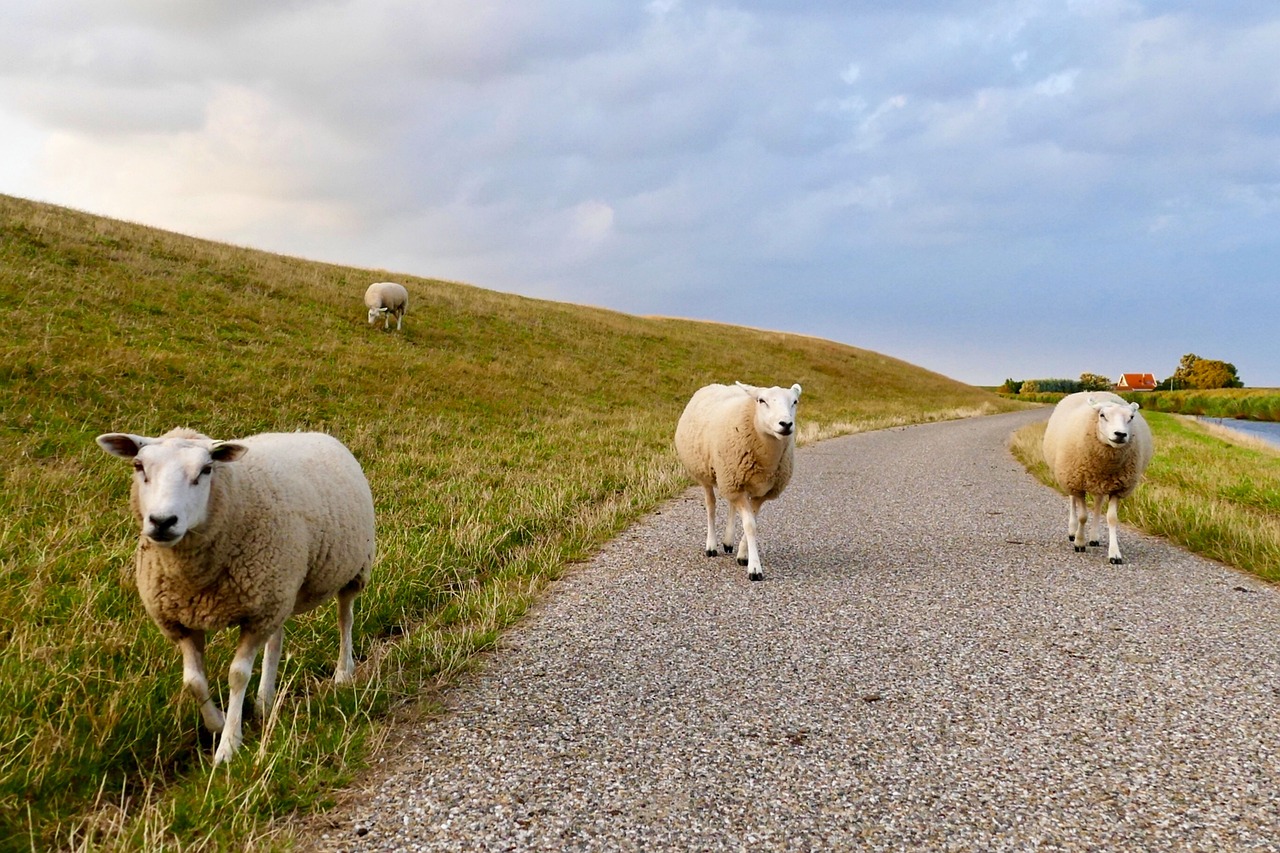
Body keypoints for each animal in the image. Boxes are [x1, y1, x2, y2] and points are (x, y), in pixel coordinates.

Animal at [95, 427, 375, 765]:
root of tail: (315, 433)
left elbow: (237, 675)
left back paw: (343, 673)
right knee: (276, 640)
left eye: (206, 470)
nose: (162, 521)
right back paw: (266, 699)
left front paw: (229, 745)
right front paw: (216, 723)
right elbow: (193, 682)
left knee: (345, 617)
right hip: (280, 589)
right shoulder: (182, 621)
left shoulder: (256, 616)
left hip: (351, 569)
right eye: (139, 466)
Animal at [674, 381, 801, 581]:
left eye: (795, 401)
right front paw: (755, 568)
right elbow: (749, 525)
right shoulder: (734, 483)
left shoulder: (760, 493)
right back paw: (711, 545)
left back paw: (728, 541)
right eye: (761, 400)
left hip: (731, 479)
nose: (786, 424)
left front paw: (743, 555)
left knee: (731, 505)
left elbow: (752, 523)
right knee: (711, 505)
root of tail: (715, 384)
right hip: (708, 474)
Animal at [1041, 391, 1153, 565]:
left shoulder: (1118, 488)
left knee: (1098, 504)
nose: (1120, 434)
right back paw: (1072, 531)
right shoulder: (1078, 483)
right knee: (1072, 501)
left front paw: (1114, 553)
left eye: (1131, 417)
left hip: (1100, 484)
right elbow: (1082, 516)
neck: (1105, 465)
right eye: (1102, 415)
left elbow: (1112, 519)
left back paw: (1094, 537)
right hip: (1070, 477)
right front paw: (1079, 542)